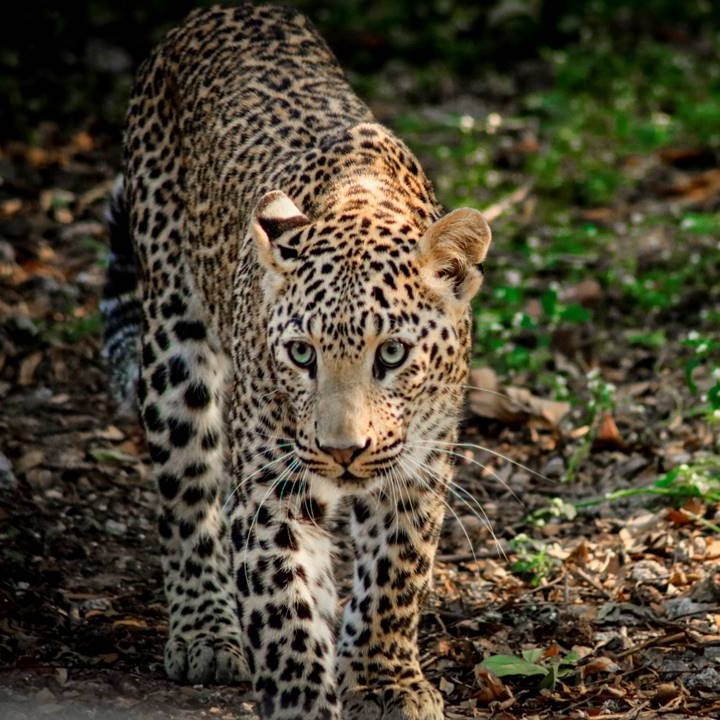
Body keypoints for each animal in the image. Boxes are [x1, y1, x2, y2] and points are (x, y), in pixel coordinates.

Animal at [101, 4, 492, 719]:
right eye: (302, 354)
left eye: (392, 353)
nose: (342, 452)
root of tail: (219, 10)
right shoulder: (269, 489)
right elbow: (283, 613)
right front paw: (303, 699)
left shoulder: (420, 466)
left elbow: (395, 576)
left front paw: (384, 681)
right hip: (174, 335)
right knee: (186, 491)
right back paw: (205, 631)